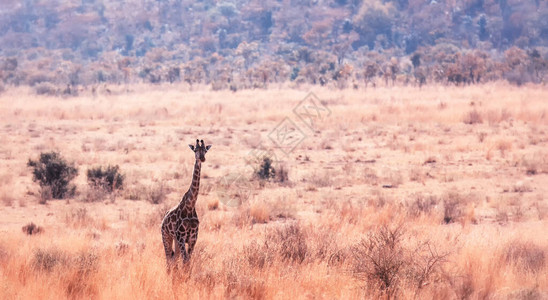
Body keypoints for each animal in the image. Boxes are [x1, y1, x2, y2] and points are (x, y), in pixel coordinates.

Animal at [162, 138, 211, 272]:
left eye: (205, 150)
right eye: (195, 150)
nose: (202, 158)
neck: (190, 206)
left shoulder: (193, 239)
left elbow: (187, 262)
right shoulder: (181, 237)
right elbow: (185, 261)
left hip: (175, 240)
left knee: (174, 258)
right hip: (166, 236)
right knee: (168, 259)